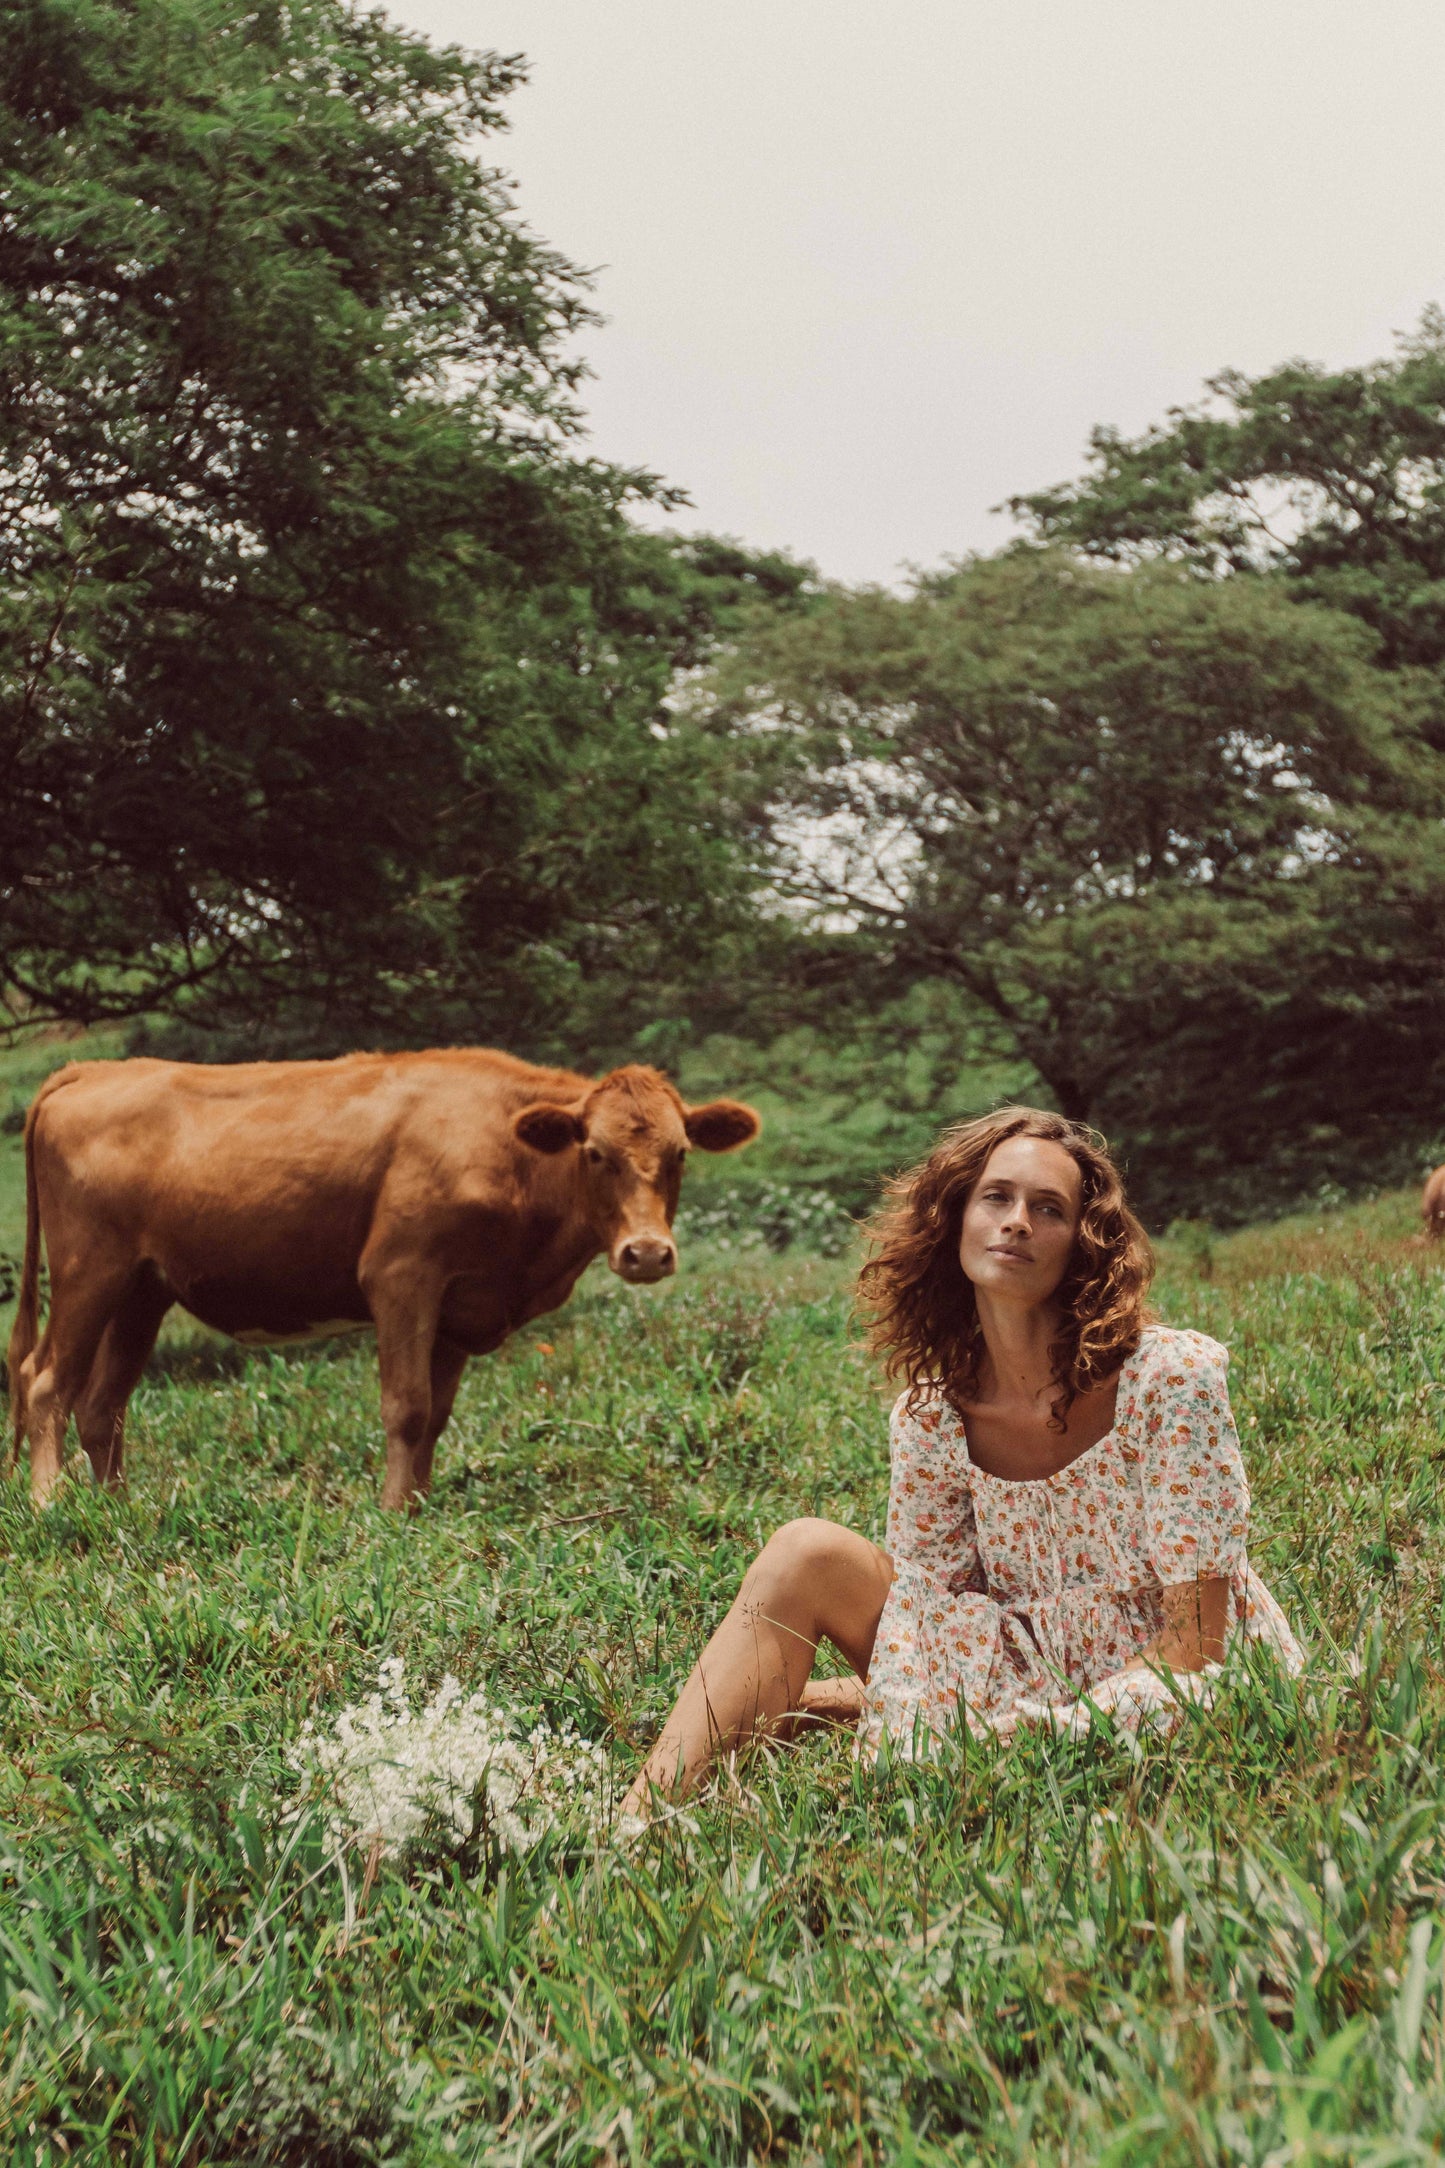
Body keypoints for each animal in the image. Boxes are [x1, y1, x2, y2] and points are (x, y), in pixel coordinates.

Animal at [11, 1049, 762, 1508]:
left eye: (680, 1152)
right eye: (595, 1152)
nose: (647, 1252)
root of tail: (91, 1070)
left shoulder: (464, 1305)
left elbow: (437, 1415)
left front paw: (421, 1505)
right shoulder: (402, 1276)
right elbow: (406, 1406)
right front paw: (394, 1511)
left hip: (144, 1286)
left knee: (102, 1403)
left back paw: (116, 1506)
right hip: (89, 1269)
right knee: (45, 1381)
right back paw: (51, 1503)